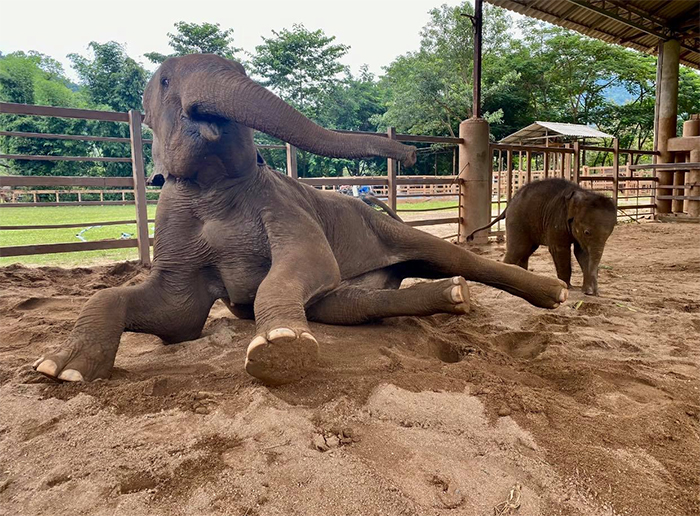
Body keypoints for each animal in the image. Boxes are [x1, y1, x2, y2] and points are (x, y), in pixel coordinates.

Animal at [34, 54, 568, 384]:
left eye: (241, 69)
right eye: (165, 82)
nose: (411, 153)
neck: (214, 186)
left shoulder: (281, 204)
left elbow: (307, 264)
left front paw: (279, 349)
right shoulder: (176, 218)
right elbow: (175, 314)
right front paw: (58, 370)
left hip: (386, 227)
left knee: (451, 257)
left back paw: (553, 294)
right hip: (353, 289)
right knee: (351, 305)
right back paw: (453, 297)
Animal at [468, 179, 616, 296]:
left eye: (609, 234)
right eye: (587, 232)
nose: (593, 292)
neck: (581, 193)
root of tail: (509, 204)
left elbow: (582, 253)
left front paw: (589, 292)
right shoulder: (557, 219)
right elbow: (560, 250)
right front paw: (569, 287)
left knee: (526, 250)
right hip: (517, 220)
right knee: (517, 249)